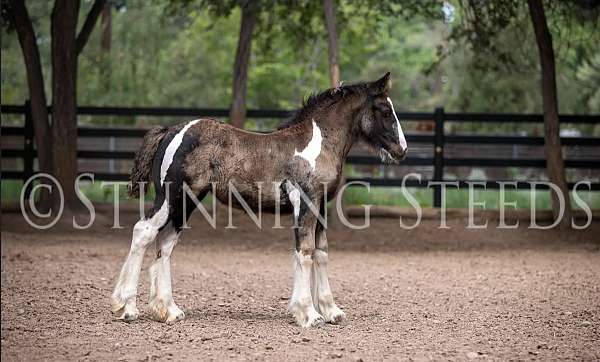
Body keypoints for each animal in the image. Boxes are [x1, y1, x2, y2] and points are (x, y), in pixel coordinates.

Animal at [112, 73, 408, 328]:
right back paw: (126, 308)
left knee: (165, 243)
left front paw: (331, 311)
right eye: (384, 109)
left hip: (188, 200)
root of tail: (170, 131)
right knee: (144, 232)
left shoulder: (321, 207)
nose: (402, 149)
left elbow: (321, 253)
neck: (317, 144)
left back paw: (168, 310)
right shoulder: (305, 203)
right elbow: (305, 252)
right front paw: (309, 314)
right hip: (171, 196)